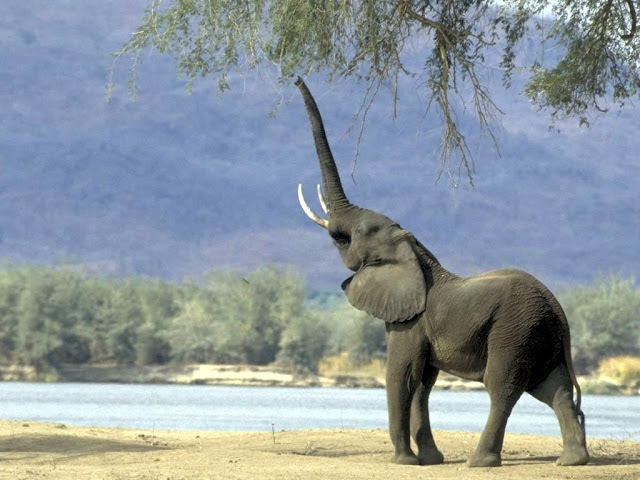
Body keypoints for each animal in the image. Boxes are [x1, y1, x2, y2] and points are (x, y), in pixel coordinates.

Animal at [292, 77, 588, 466]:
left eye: (350, 237)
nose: (295, 79)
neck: (414, 250)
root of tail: (558, 310)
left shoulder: (409, 320)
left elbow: (402, 376)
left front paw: (404, 461)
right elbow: (423, 382)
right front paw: (430, 459)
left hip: (515, 329)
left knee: (503, 386)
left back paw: (480, 461)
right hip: (540, 334)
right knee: (554, 388)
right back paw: (573, 460)